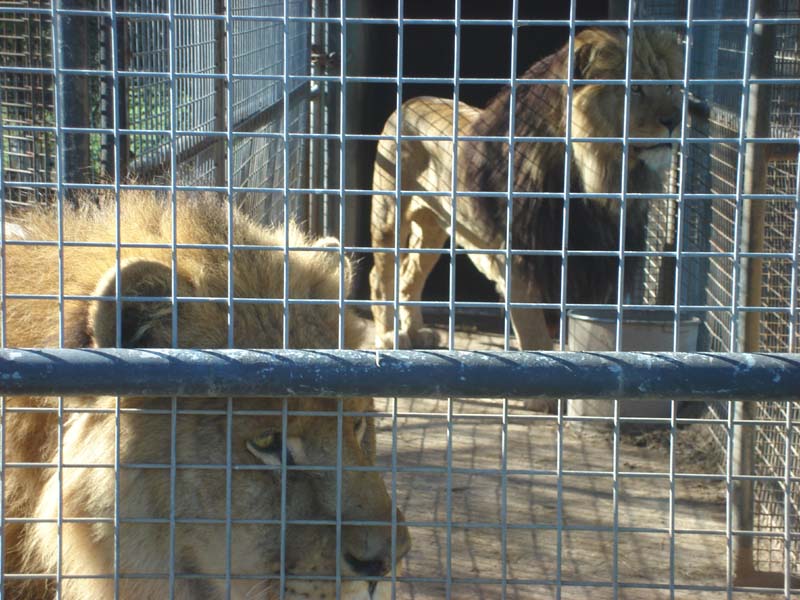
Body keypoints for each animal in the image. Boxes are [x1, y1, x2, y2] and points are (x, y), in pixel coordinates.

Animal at [369, 28, 684, 357]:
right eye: (634, 88)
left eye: (670, 87)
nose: (675, 120)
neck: (592, 182)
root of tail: (411, 101)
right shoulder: (520, 269)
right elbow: (536, 342)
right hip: (389, 216)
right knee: (380, 276)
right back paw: (390, 336)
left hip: (433, 228)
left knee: (409, 276)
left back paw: (416, 333)